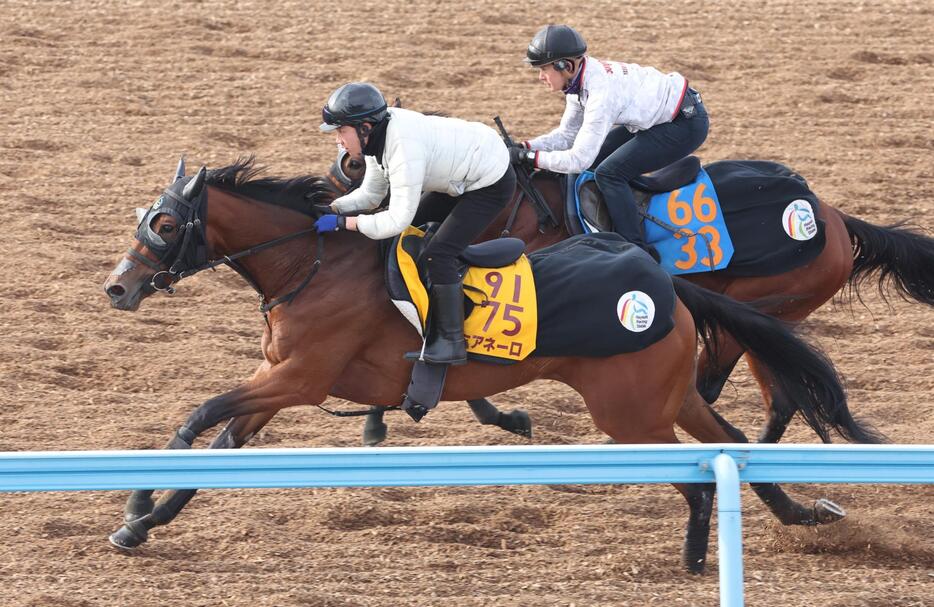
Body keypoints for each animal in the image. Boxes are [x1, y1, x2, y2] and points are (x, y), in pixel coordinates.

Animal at [102, 159, 876, 576]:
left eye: (164, 224)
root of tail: (664, 280)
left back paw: (695, 556)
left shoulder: (298, 380)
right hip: (667, 396)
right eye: (145, 215)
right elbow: (222, 445)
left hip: (630, 413)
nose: (116, 287)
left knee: (699, 472)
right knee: (731, 443)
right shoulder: (277, 384)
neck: (313, 265)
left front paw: (137, 505)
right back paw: (802, 512)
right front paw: (146, 521)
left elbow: (199, 416)